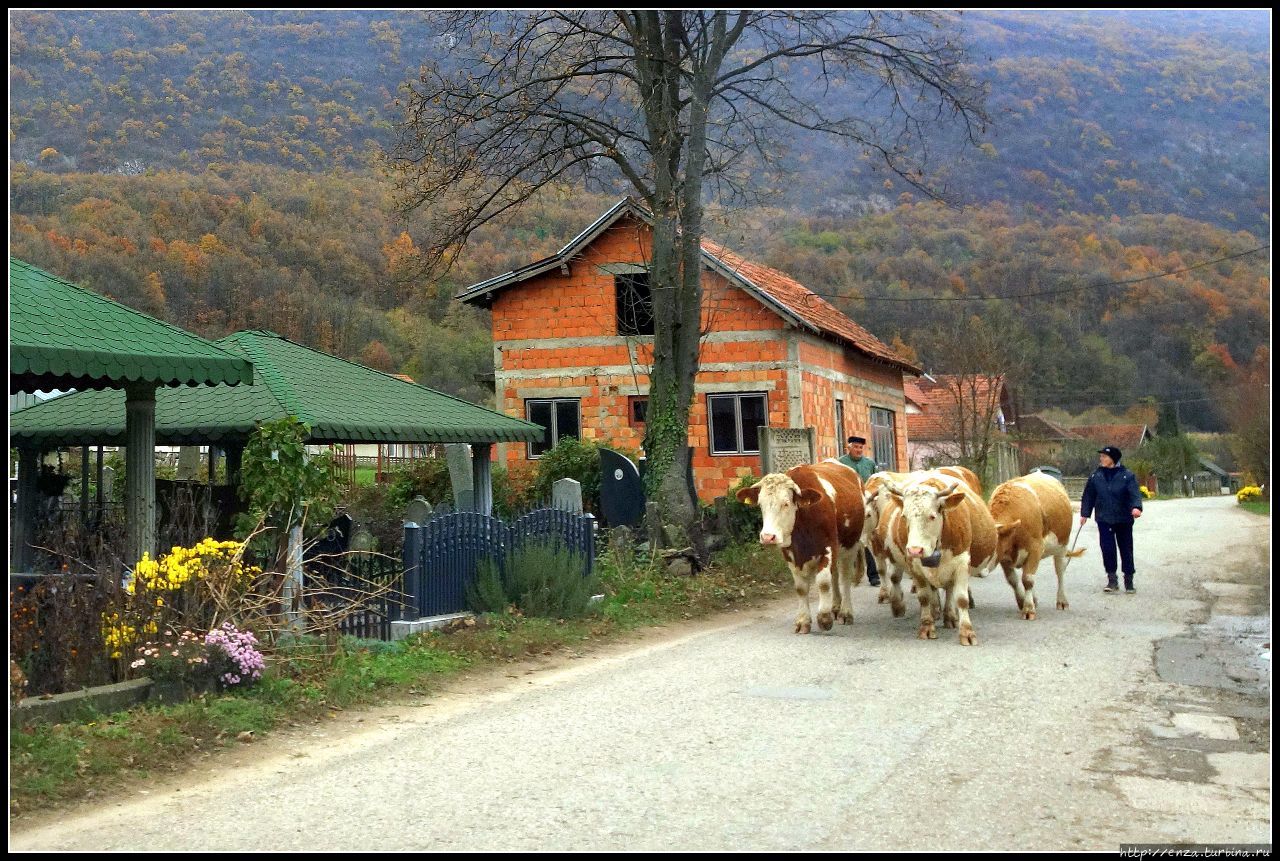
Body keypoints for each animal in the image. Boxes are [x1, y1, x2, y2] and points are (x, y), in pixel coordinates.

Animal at [737, 460, 865, 634]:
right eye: (761, 505)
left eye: (786, 503)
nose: (768, 537)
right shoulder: (790, 553)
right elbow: (801, 588)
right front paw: (803, 621)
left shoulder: (828, 547)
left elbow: (823, 582)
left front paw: (824, 618)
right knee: (835, 576)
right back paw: (835, 607)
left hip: (851, 545)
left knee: (844, 577)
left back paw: (845, 612)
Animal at [885, 473, 993, 642]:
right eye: (904, 516)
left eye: (932, 516)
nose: (915, 550)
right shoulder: (914, 566)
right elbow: (924, 597)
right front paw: (927, 627)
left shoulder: (962, 563)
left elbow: (961, 599)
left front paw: (967, 632)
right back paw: (937, 612)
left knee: (949, 590)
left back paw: (950, 617)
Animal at [983, 470, 1085, 619]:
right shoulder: (1004, 556)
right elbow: (1013, 580)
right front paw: (1023, 601)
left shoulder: (1036, 548)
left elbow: (1028, 579)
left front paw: (1028, 609)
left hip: (1062, 546)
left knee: (1060, 572)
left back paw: (1062, 601)